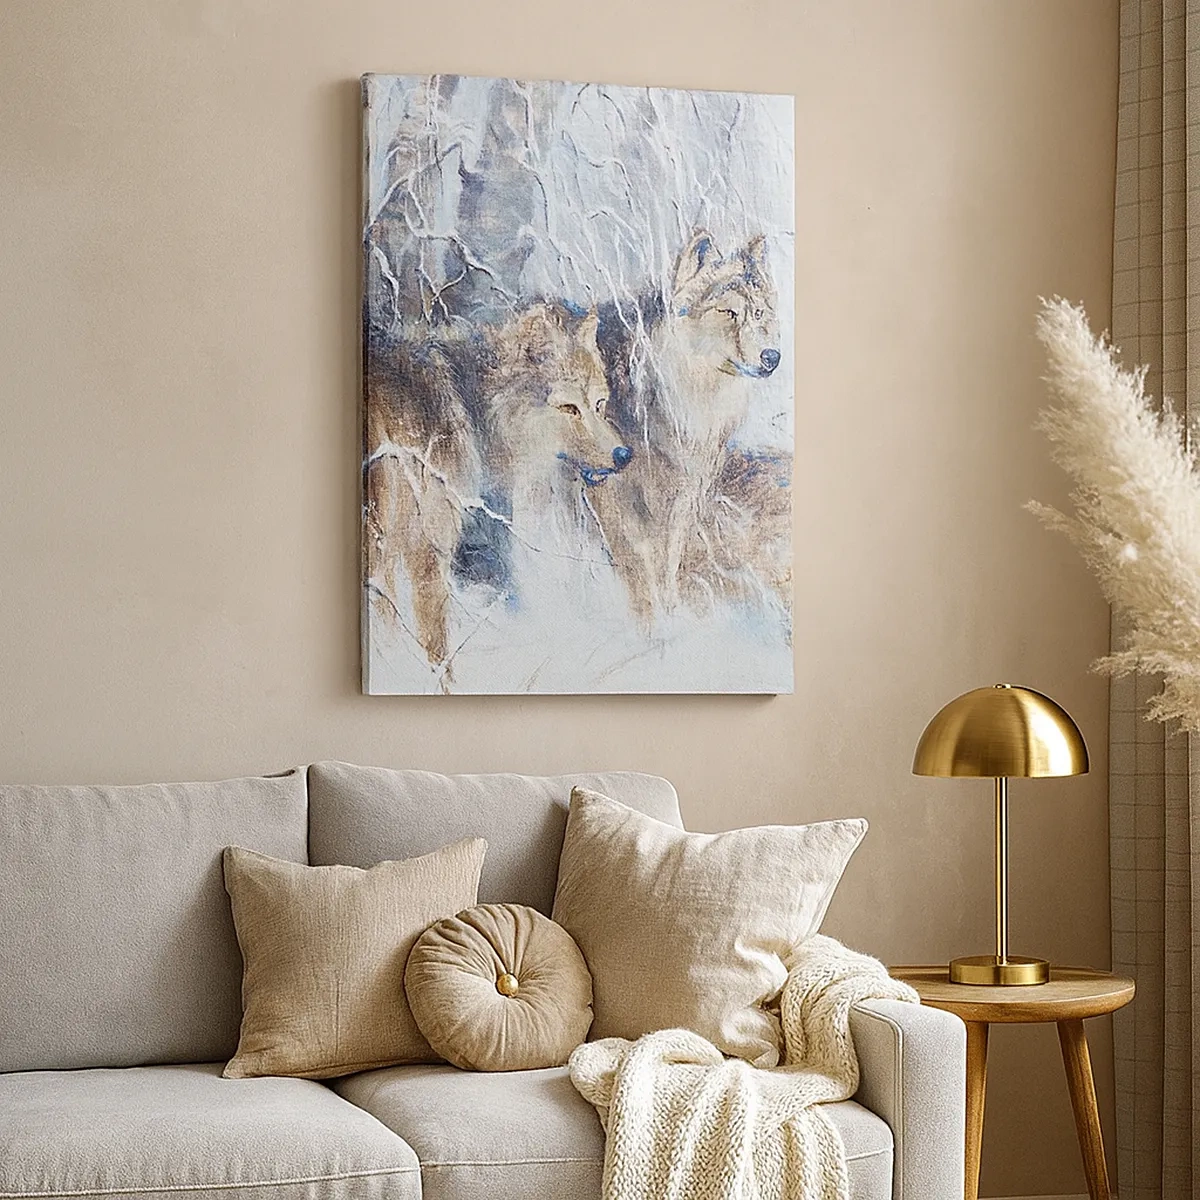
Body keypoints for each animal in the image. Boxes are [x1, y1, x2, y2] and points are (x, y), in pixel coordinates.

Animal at [594, 229, 784, 622]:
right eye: (728, 312)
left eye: (758, 313)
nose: (772, 357)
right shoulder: (611, 493)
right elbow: (635, 565)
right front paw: (647, 621)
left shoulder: (682, 497)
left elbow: (666, 563)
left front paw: (670, 615)